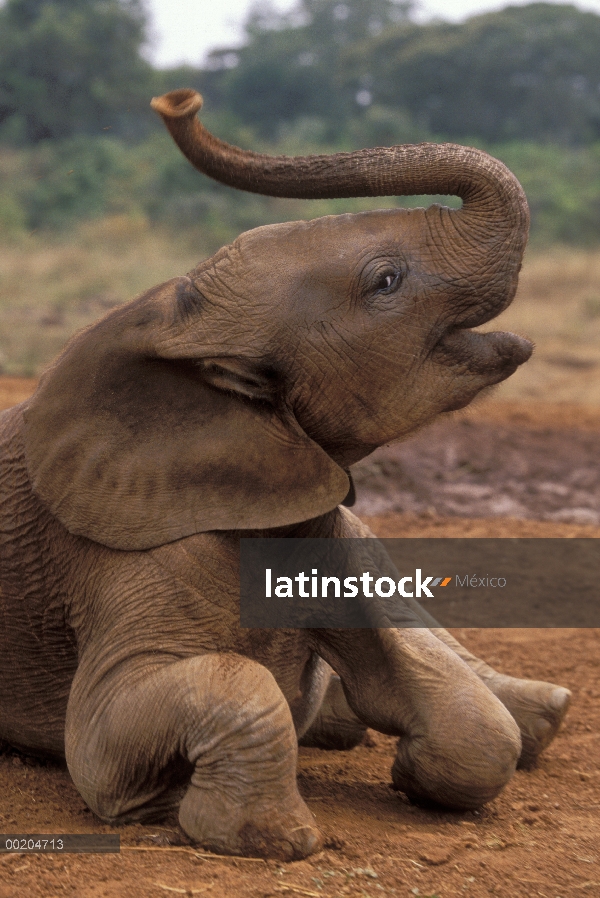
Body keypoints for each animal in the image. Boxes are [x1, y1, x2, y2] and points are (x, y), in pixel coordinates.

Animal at [0, 87, 572, 856]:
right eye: (386, 282)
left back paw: (546, 712)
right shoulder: (115, 564)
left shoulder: (327, 537)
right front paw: (264, 835)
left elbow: (465, 718)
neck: (180, 327)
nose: (178, 101)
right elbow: (123, 730)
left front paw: (410, 773)